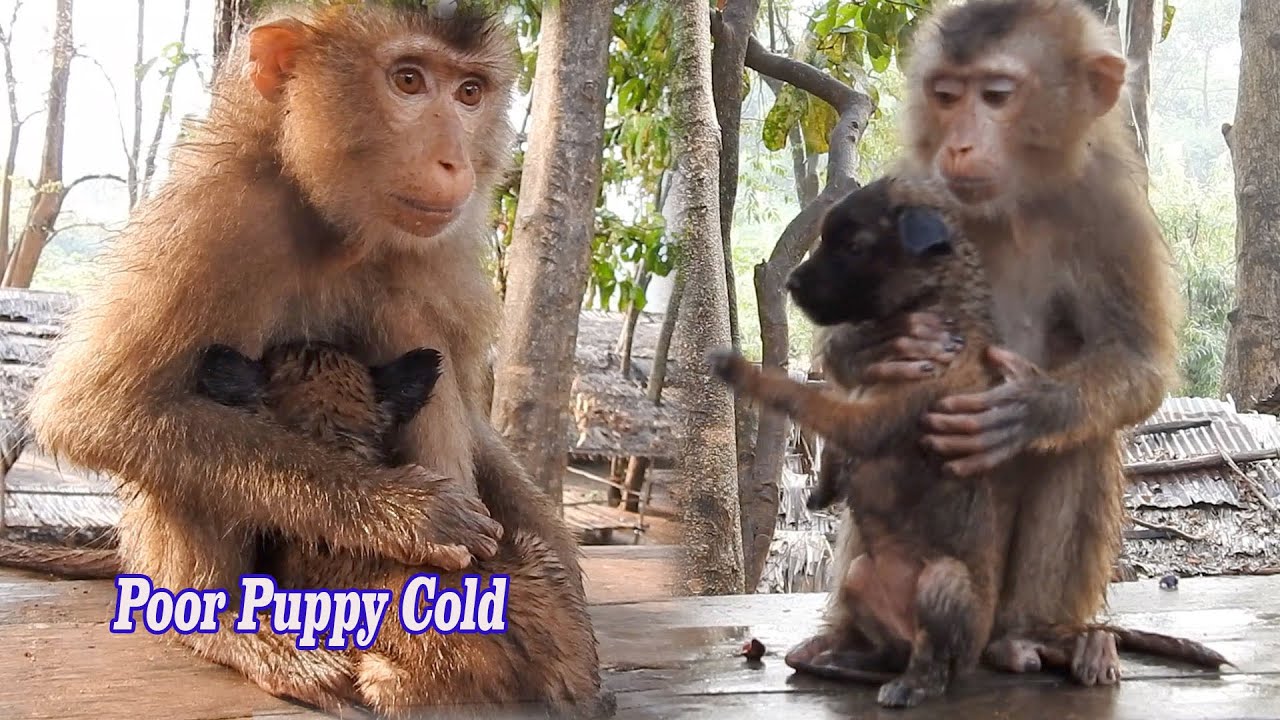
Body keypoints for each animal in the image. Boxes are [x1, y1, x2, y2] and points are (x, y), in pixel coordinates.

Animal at [20, 3, 609, 717]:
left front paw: (562, 586)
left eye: (470, 92)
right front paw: (407, 511)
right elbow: (97, 408)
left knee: (407, 312)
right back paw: (221, 626)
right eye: (408, 80)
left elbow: (468, 412)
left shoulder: (443, 248)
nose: (453, 163)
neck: (338, 228)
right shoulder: (216, 212)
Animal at [782, 0, 1187, 690]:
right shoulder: (912, 184)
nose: (960, 142)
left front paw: (1028, 409)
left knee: (1080, 444)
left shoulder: (1111, 206)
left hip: (991, 599)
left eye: (997, 95)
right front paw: (878, 346)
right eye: (947, 95)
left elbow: (1137, 360)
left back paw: (1037, 640)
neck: (1012, 206)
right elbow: (842, 361)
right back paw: (845, 640)